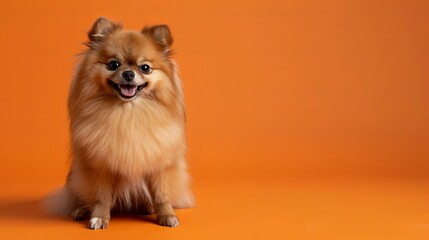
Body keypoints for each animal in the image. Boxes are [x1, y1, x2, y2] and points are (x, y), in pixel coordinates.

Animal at [42, 17, 193, 230]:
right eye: (113, 64)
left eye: (145, 67)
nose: (128, 73)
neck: (127, 114)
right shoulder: (101, 165)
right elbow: (102, 197)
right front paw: (99, 217)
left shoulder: (158, 165)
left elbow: (161, 195)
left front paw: (167, 215)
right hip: (75, 177)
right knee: (81, 196)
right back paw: (80, 210)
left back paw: (147, 207)